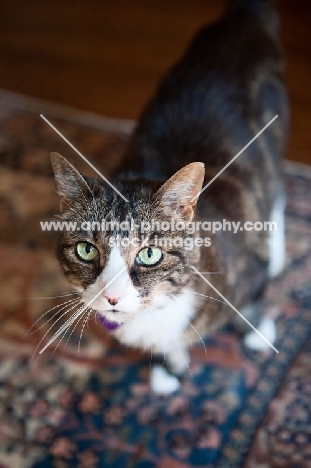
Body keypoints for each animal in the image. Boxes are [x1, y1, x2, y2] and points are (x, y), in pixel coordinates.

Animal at [50, 0, 288, 394]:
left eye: (149, 254)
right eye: (86, 250)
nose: (112, 297)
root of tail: (244, 15)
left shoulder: (247, 271)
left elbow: (252, 300)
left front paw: (256, 332)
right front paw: (170, 367)